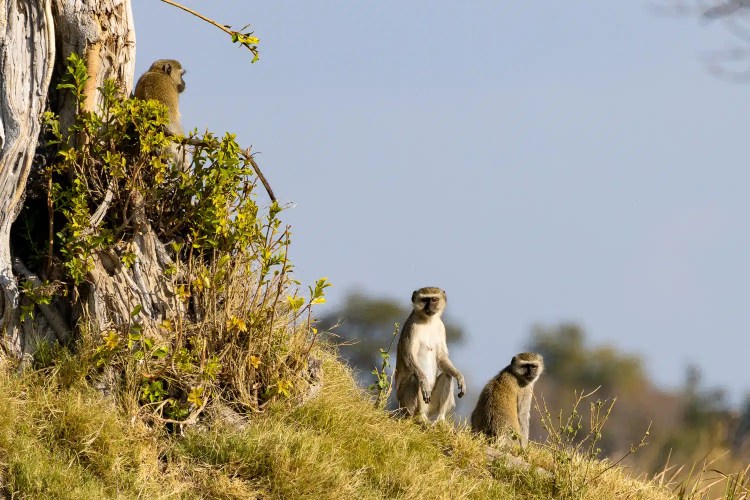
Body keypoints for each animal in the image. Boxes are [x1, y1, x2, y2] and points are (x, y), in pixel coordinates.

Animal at [394, 287, 466, 422]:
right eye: (424, 300)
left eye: (434, 299)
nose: (429, 307)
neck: (428, 321)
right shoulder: (412, 327)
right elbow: (408, 355)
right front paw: (423, 381)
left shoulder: (441, 327)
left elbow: (441, 357)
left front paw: (460, 377)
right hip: (405, 404)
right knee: (415, 377)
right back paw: (421, 417)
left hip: (432, 404)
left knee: (447, 375)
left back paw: (441, 420)